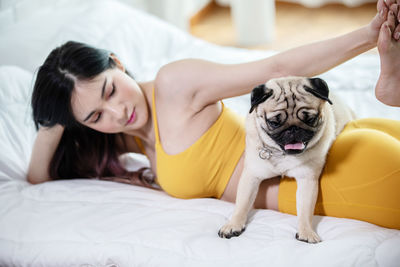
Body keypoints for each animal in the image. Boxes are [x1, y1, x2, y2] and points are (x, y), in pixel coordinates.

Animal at [219, 76, 354, 244]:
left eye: (311, 119)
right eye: (274, 122)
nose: (293, 129)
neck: (283, 154)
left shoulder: (307, 180)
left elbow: (305, 209)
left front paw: (306, 231)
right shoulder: (251, 176)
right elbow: (242, 203)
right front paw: (233, 224)